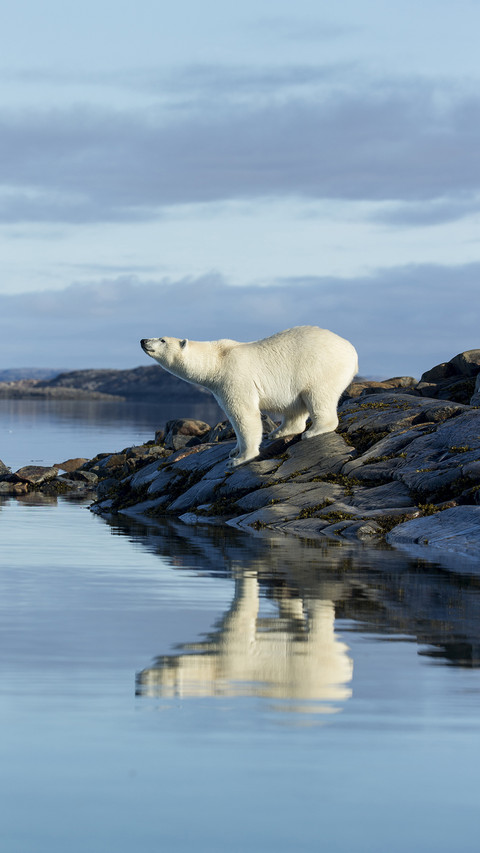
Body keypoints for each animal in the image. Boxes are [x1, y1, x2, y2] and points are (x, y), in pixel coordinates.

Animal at [141, 326, 358, 469]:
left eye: (162, 339)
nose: (143, 340)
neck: (217, 361)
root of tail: (352, 351)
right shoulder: (219, 387)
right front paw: (234, 450)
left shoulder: (235, 377)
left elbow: (244, 415)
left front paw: (239, 458)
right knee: (294, 406)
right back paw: (279, 432)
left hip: (319, 367)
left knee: (318, 395)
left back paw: (314, 431)